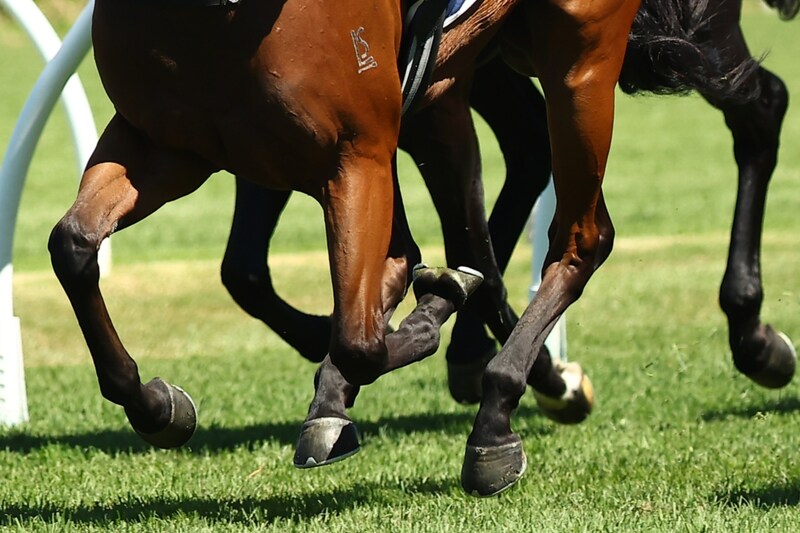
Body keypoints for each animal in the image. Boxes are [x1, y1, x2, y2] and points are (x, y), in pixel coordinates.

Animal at [47, 0, 641, 497]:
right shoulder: (166, 145)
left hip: (579, 60)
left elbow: (361, 341)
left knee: (580, 237)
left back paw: (493, 417)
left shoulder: (354, 153)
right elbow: (73, 246)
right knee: (469, 232)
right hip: (453, 88)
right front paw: (157, 405)